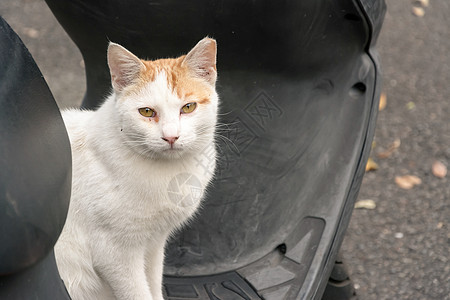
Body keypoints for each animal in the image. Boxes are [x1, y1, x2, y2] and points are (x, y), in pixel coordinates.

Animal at [53, 37, 219, 300]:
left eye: (188, 107)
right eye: (147, 112)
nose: (171, 137)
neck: (167, 172)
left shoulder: (154, 244)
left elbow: (153, 283)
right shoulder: (115, 254)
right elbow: (138, 293)